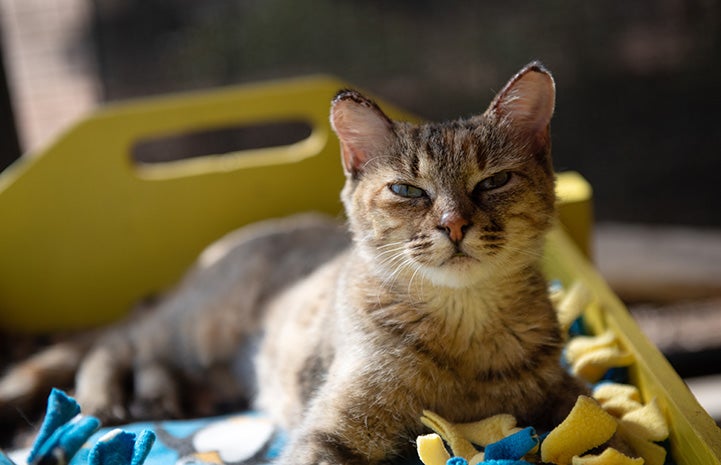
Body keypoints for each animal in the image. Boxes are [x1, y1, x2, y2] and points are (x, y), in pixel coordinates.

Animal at [1, 62, 592, 464]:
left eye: (494, 181)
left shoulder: (562, 392)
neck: (465, 322)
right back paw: (103, 402)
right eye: (407, 190)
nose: (453, 224)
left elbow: (598, 414)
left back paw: (160, 396)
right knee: (117, 341)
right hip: (196, 325)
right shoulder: (334, 425)